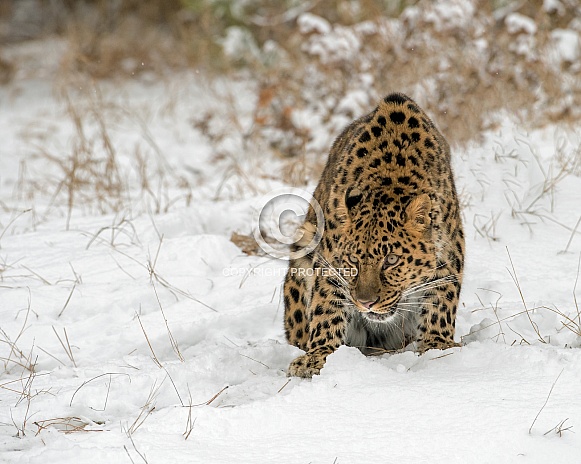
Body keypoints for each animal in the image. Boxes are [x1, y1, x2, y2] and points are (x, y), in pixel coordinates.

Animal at [284, 92, 464, 378]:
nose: (365, 303)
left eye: (391, 260)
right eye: (352, 260)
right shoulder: (329, 260)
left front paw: (437, 346)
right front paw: (319, 355)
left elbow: (442, 299)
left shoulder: (450, 250)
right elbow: (326, 306)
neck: (391, 178)